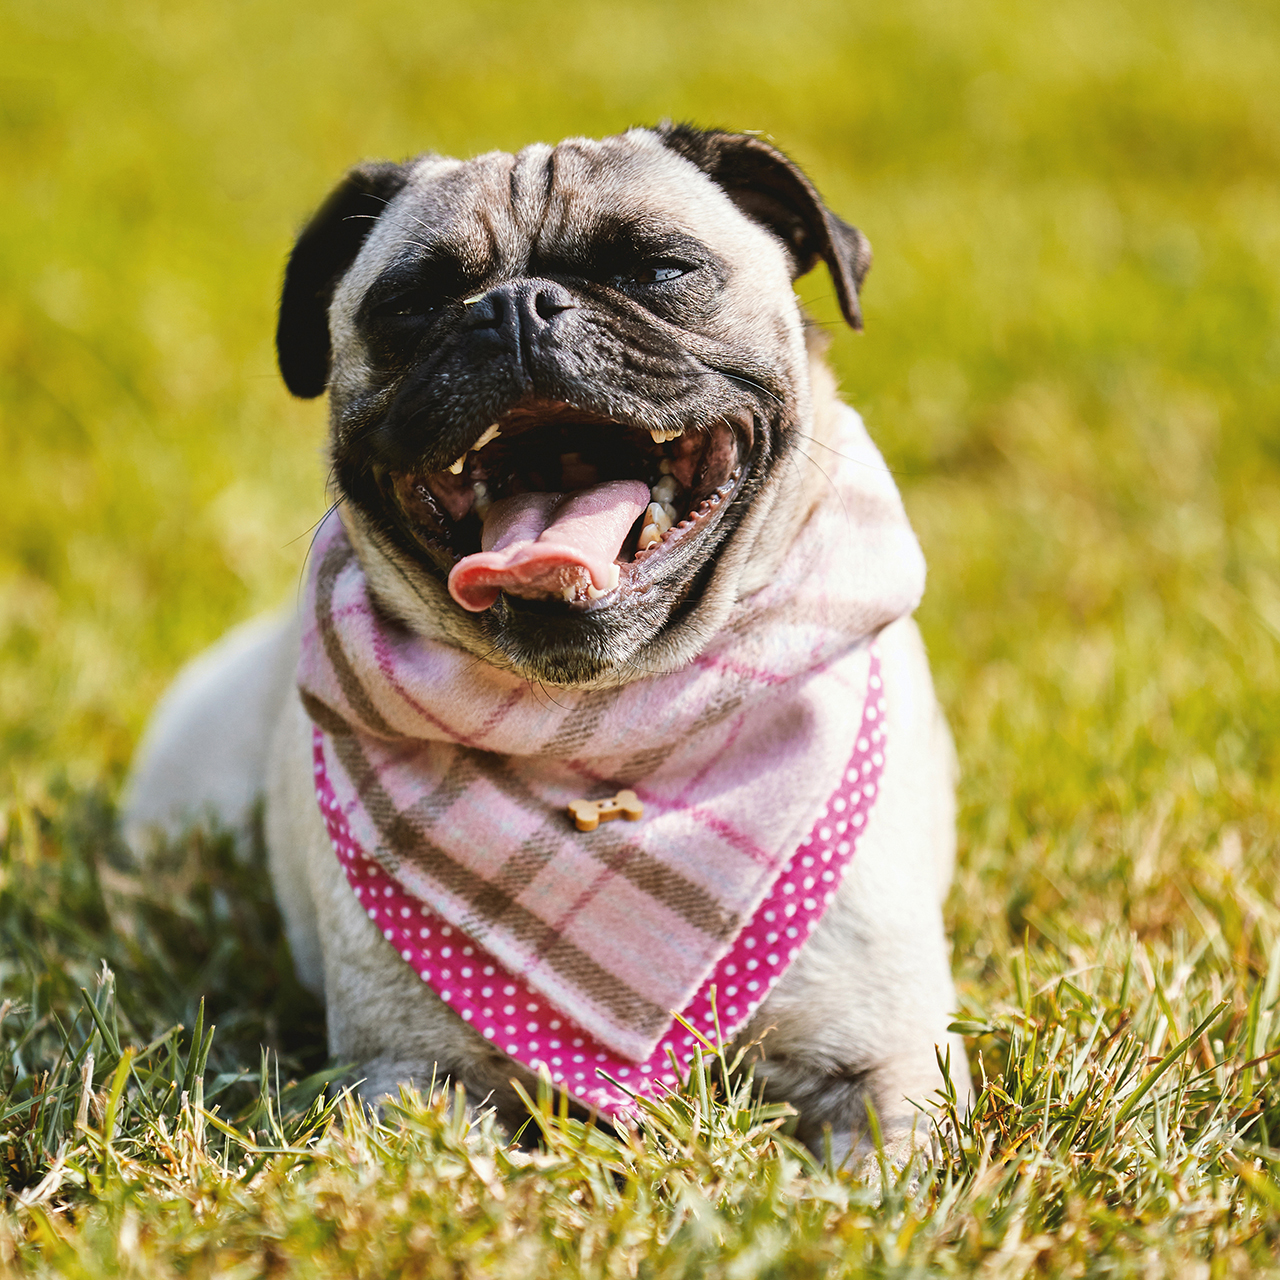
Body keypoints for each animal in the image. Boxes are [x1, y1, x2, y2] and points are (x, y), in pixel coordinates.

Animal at [129, 127, 967, 1162]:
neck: (599, 724)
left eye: (660, 270)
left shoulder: (889, 1070)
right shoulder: (412, 1079)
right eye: (409, 305)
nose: (513, 307)